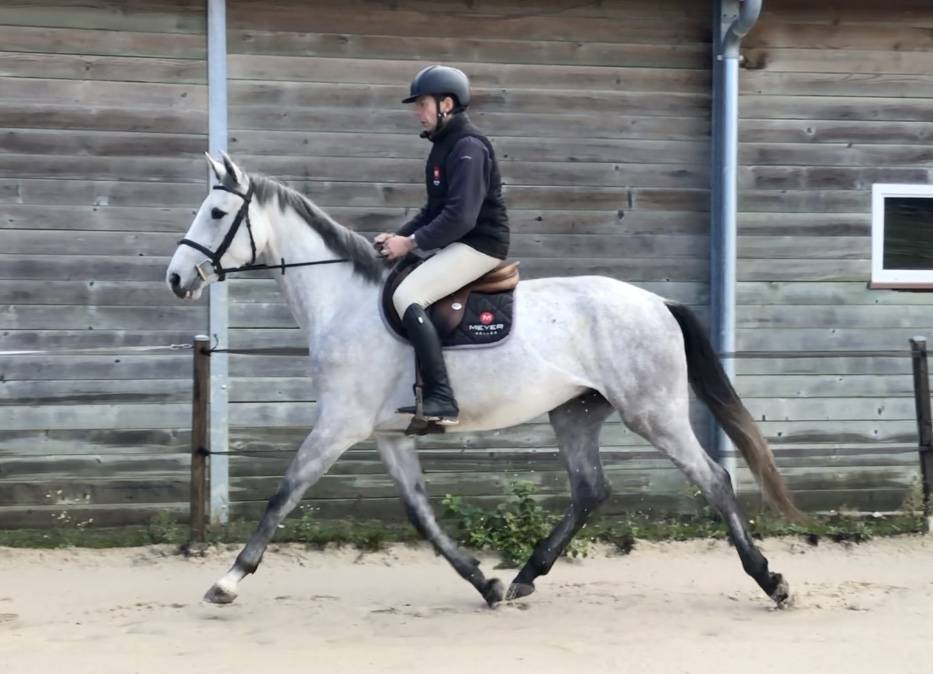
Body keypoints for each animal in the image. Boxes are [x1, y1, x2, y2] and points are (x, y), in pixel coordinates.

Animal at [166, 153, 801, 608]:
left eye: (217, 214)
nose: (176, 279)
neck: (343, 302)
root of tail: (657, 303)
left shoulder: (340, 424)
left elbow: (284, 492)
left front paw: (228, 580)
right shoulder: (387, 434)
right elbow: (421, 514)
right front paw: (482, 582)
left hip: (653, 412)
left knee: (713, 478)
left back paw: (770, 580)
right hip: (575, 412)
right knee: (590, 490)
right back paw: (522, 578)